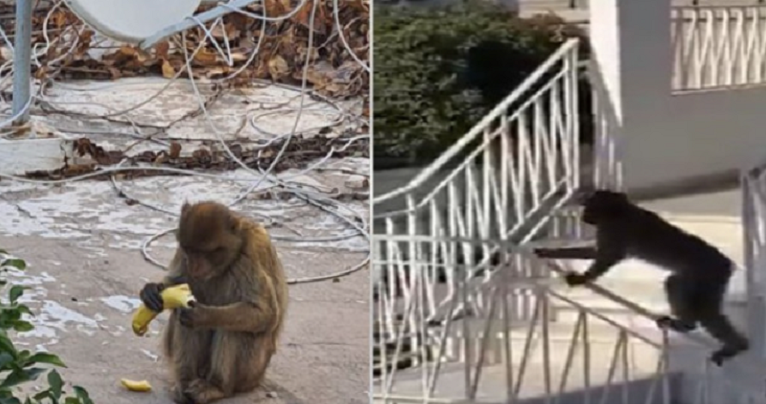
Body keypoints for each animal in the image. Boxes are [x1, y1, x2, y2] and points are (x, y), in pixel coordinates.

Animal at [139, 201, 288, 404]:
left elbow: (265, 313)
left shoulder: (250, 255)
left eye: (205, 253)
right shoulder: (182, 253)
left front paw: (203, 315)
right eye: (190, 250)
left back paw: (217, 387)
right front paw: (152, 290)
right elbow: (178, 281)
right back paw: (185, 381)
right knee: (182, 316)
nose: (194, 266)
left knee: (234, 327)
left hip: (252, 370)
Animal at [558, 189, 749, 366]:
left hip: (708, 274)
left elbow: (607, 256)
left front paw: (583, 278)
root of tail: (726, 263)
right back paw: (734, 344)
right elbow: (594, 252)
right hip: (711, 278)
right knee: (701, 304)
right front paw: (551, 253)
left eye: (589, 205)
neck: (618, 210)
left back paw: (693, 328)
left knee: (687, 295)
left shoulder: (615, 229)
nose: (584, 215)